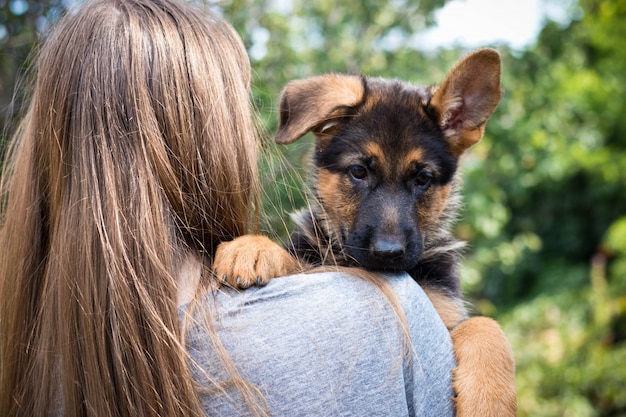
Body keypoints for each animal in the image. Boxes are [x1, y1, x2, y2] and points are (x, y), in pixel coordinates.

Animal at [212, 49, 516, 416]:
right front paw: (252, 248)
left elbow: (485, 325)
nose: (388, 253)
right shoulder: (317, 257)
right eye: (359, 171)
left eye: (423, 178)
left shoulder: (444, 311)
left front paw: (490, 398)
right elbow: (298, 259)